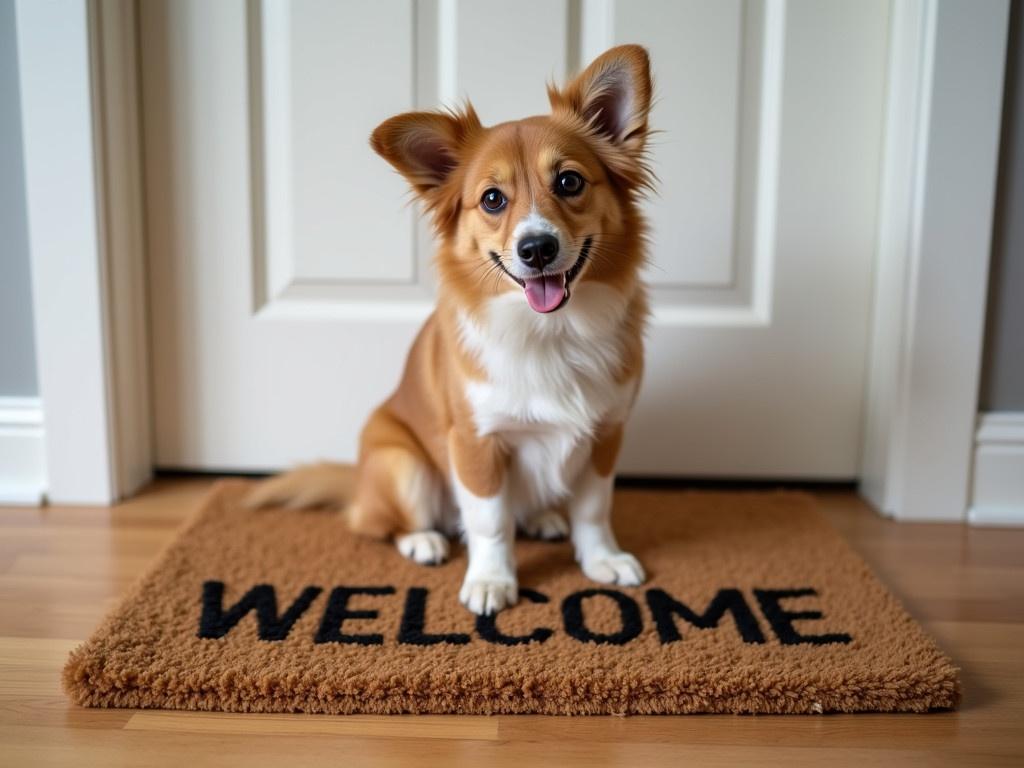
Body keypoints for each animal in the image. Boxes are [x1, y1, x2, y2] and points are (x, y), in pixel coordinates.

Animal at [251, 45, 659, 618]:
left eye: (570, 182)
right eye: (491, 199)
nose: (537, 248)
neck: (549, 332)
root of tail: (358, 483)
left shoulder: (606, 434)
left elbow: (594, 509)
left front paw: (601, 558)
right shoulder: (475, 441)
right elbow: (489, 522)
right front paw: (491, 580)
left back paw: (543, 519)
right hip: (404, 467)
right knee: (384, 523)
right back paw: (424, 540)